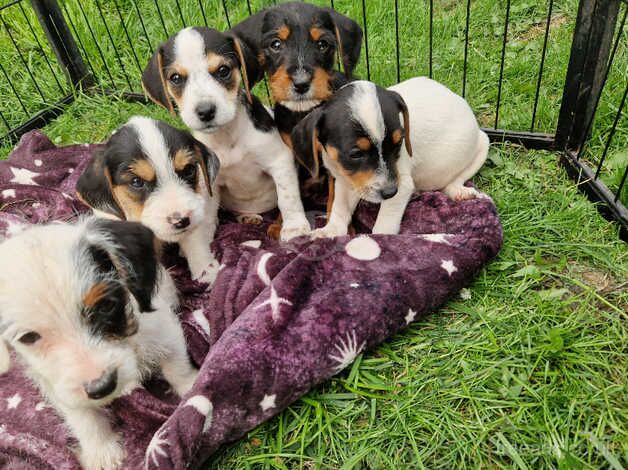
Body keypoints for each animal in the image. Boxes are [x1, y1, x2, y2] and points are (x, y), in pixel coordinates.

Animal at [0, 219, 197, 470]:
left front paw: (191, 389)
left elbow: (177, 367)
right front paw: (101, 451)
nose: (102, 387)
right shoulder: (56, 383)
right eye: (28, 337)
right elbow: (81, 415)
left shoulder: (165, 332)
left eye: (106, 306)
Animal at [140, 25, 312, 239]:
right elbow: (207, 210)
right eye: (176, 78)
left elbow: (288, 198)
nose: (205, 111)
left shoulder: (279, 161)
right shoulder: (207, 179)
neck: (226, 136)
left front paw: (295, 227)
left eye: (223, 70)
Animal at [290, 78, 490, 239]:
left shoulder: (402, 184)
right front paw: (330, 231)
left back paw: (459, 192)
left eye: (399, 143)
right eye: (355, 154)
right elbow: (339, 208)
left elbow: (383, 225)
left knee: (454, 181)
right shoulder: (345, 180)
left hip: (483, 145)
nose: (390, 192)